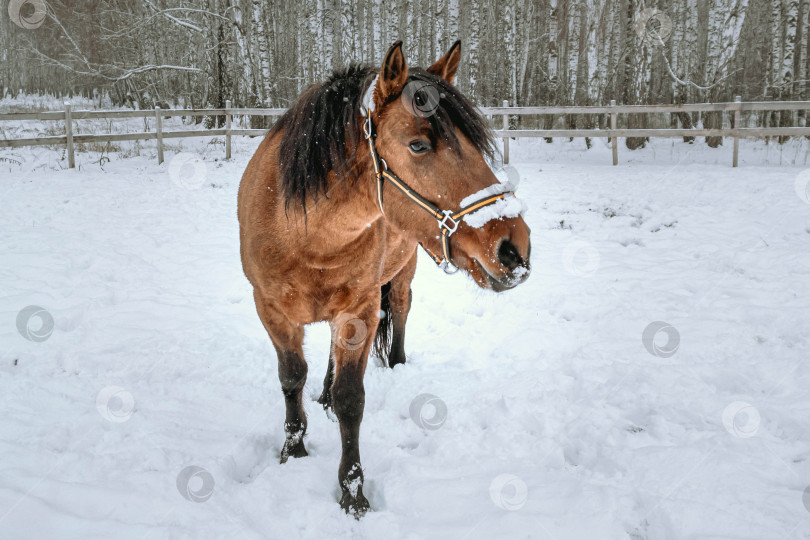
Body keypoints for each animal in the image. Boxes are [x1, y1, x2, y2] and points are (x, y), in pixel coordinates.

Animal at [237, 40, 531, 517]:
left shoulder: (359, 308)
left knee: (401, 309)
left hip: (400, 276)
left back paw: (395, 362)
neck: (307, 235)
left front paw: (352, 492)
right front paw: (293, 449)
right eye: (418, 145)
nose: (514, 247)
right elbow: (292, 377)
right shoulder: (271, 310)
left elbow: (351, 399)